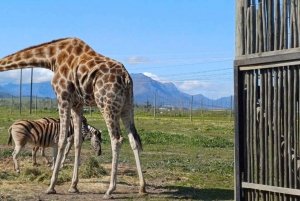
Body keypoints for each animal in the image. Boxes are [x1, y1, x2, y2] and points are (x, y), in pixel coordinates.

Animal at [0, 37, 146, 199]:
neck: (52, 58)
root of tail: (126, 77)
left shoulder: (63, 96)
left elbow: (62, 140)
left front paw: (51, 186)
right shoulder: (78, 103)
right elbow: (77, 142)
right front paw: (73, 186)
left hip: (107, 105)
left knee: (117, 139)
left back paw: (110, 190)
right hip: (127, 106)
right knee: (134, 140)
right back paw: (142, 187)